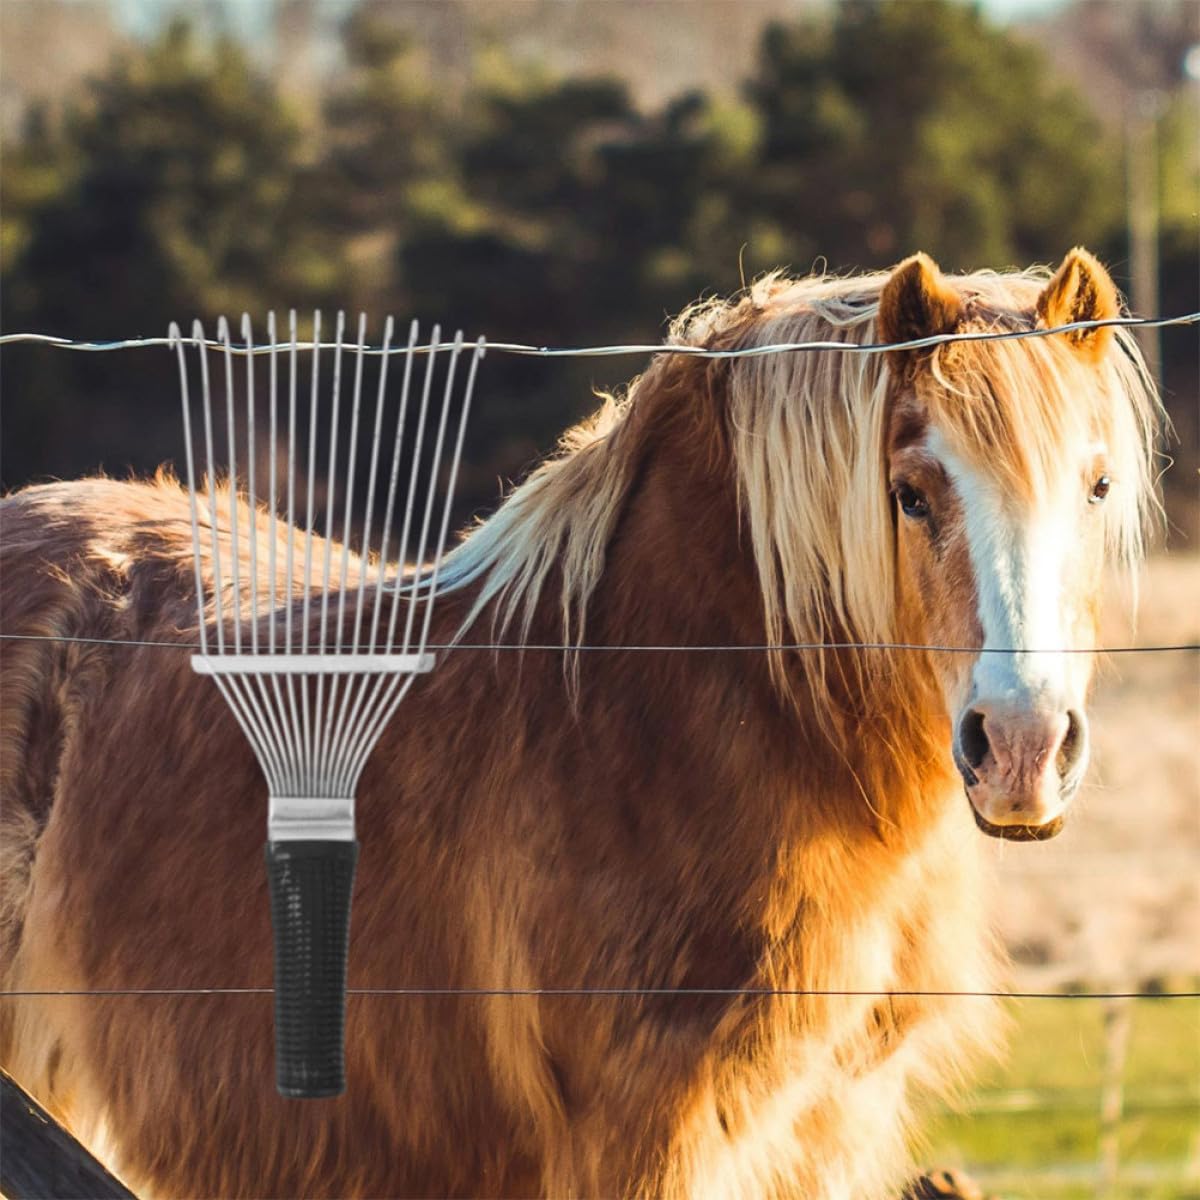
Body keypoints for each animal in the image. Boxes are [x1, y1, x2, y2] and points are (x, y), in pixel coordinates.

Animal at [0, 248, 1161, 1199]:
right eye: (910, 493)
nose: (1021, 748)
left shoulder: (830, 1128)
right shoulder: (645, 1138)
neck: (659, 711)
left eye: (1099, 485)